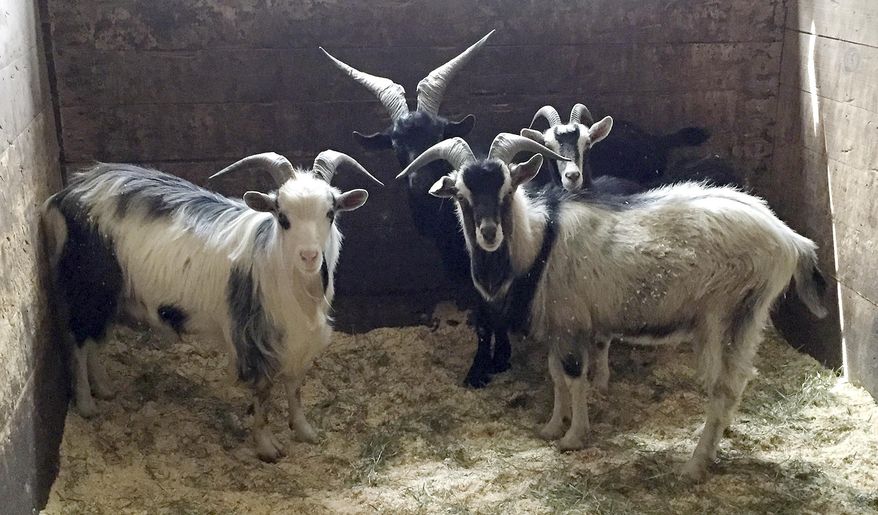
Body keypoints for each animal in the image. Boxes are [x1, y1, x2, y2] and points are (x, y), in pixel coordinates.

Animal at [42, 151, 382, 462]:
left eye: (330, 213)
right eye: (282, 217)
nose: (309, 256)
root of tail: (66, 195)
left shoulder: (298, 343)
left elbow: (294, 389)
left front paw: (305, 431)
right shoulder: (253, 341)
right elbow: (262, 397)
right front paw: (267, 448)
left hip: (106, 296)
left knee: (93, 340)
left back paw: (104, 388)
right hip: (88, 287)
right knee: (79, 342)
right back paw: (87, 405)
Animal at [322, 31, 517, 388]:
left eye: (439, 135)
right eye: (395, 142)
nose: (419, 179)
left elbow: (490, 311)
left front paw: (482, 368)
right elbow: (486, 313)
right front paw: (496, 360)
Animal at [397, 133, 828, 481]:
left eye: (507, 190)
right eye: (462, 195)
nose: (489, 233)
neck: (538, 242)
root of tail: (791, 240)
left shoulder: (571, 321)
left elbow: (574, 377)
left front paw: (573, 437)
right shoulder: (559, 326)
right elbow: (555, 374)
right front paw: (551, 427)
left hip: (729, 315)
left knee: (725, 385)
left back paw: (694, 466)